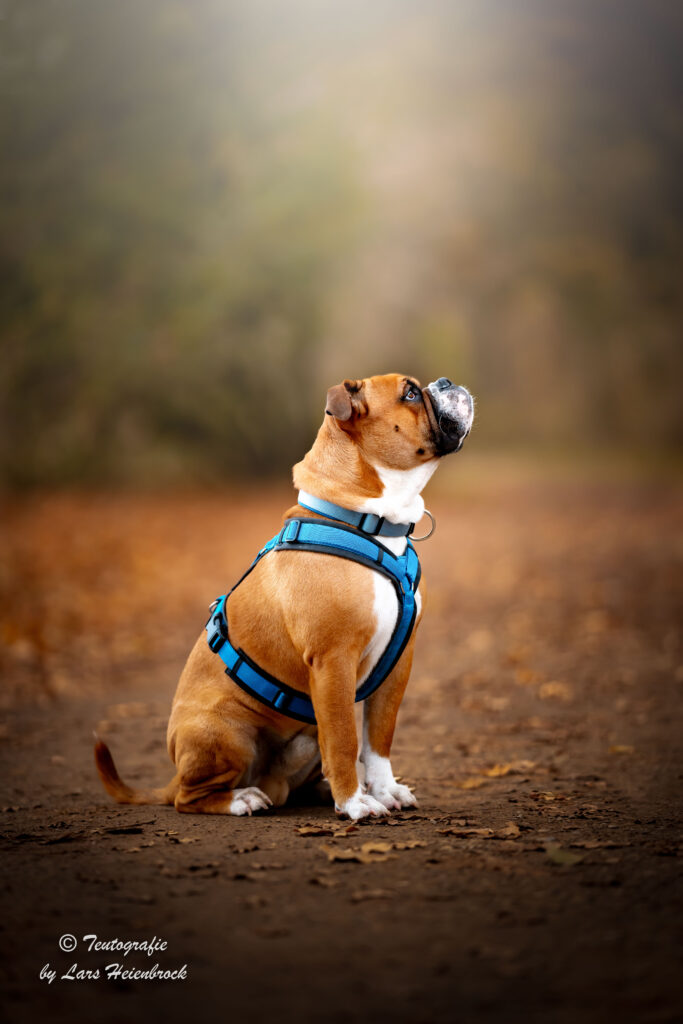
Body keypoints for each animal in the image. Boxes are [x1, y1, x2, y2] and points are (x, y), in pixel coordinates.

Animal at [93, 372, 473, 819]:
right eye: (411, 394)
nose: (446, 382)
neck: (371, 524)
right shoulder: (333, 660)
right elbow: (345, 741)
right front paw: (354, 804)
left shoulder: (399, 664)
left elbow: (378, 738)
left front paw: (382, 790)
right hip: (225, 732)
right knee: (190, 797)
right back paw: (243, 798)